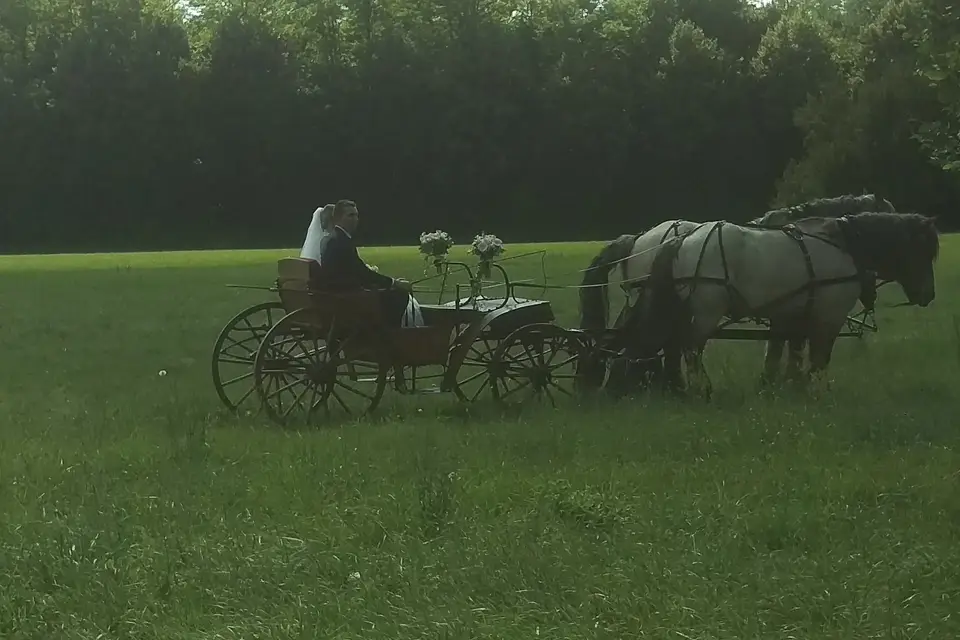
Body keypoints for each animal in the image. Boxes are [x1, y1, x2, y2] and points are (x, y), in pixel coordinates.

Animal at [639, 212, 938, 393]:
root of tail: (682, 240)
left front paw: (783, 385)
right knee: (691, 348)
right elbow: (819, 357)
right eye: (924, 252)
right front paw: (816, 390)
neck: (843, 245)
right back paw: (701, 388)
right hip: (706, 312)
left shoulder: (793, 314)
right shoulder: (828, 317)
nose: (929, 295)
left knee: (677, 346)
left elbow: (785, 352)